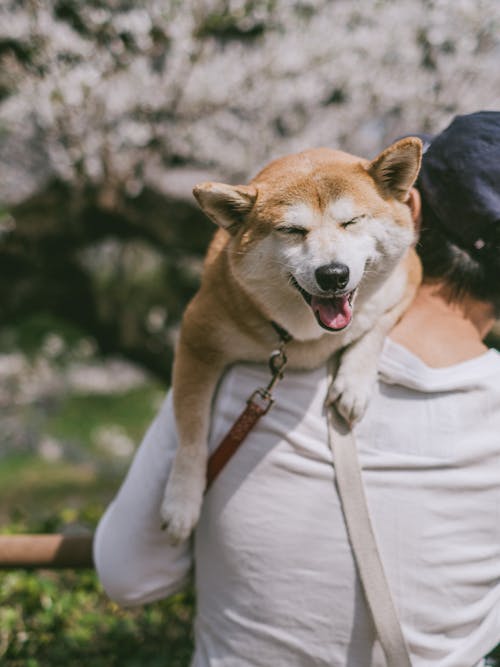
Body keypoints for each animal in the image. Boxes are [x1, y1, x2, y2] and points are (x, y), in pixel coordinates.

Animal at [160, 140, 422, 544]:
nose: (333, 274)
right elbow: (190, 430)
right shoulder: (197, 335)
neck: (307, 339)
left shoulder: (408, 279)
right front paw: (182, 502)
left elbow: (375, 328)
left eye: (352, 221)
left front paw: (354, 384)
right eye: (292, 230)